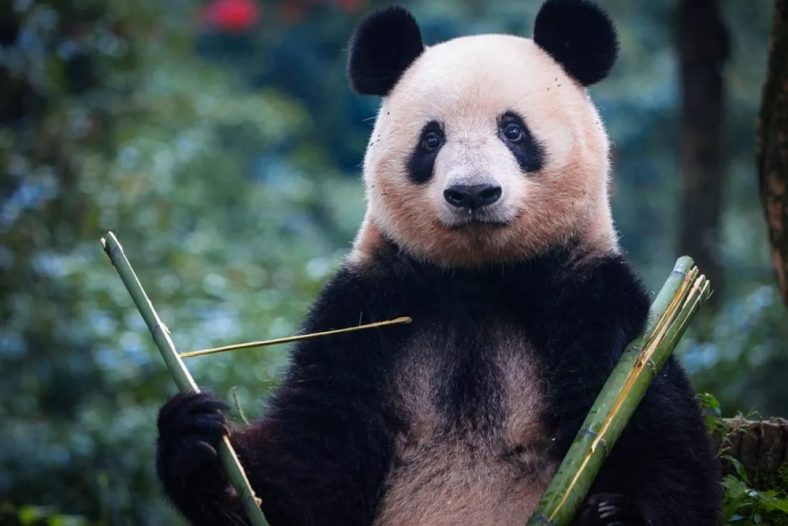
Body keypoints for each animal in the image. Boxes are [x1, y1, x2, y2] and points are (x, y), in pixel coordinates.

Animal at [155, 1, 721, 525]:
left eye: (513, 131)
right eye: (431, 139)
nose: (473, 193)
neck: (480, 278)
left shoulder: (594, 300)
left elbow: (653, 434)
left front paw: (616, 513)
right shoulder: (365, 309)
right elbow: (312, 459)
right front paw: (198, 446)